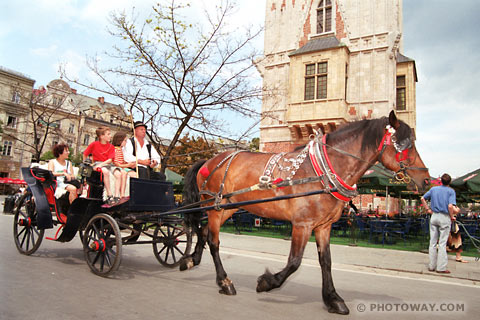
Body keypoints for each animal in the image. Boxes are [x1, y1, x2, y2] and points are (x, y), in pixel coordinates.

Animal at [180, 111, 428, 314]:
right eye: (404, 144)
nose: (426, 179)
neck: (322, 170)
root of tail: (211, 159)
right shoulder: (302, 224)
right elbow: (294, 262)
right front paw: (267, 282)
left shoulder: (323, 226)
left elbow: (326, 261)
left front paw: (333, 299)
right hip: (215, 207)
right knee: (214, 241)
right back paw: (224, 282)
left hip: (225, 209)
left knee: (204, 232)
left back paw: (191, 260)